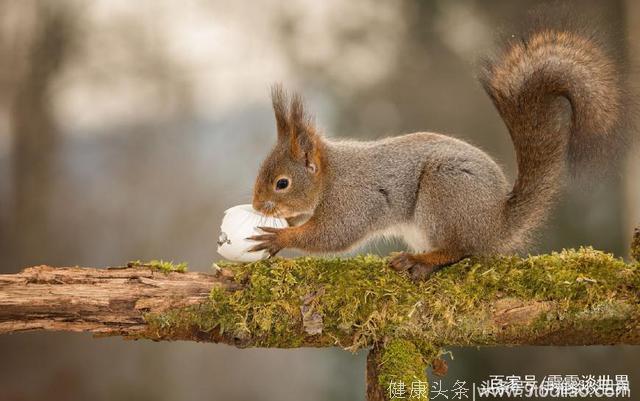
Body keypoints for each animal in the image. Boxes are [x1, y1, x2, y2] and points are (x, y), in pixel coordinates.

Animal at [246, 28, 624, 278]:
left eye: (282, 183)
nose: (257, 206)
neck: (330, 176)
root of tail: (496, 225)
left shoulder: (351, 199)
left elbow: (334, 235)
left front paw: (279, 236)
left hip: (444, 194)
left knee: (460, 250)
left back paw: (421, 261)